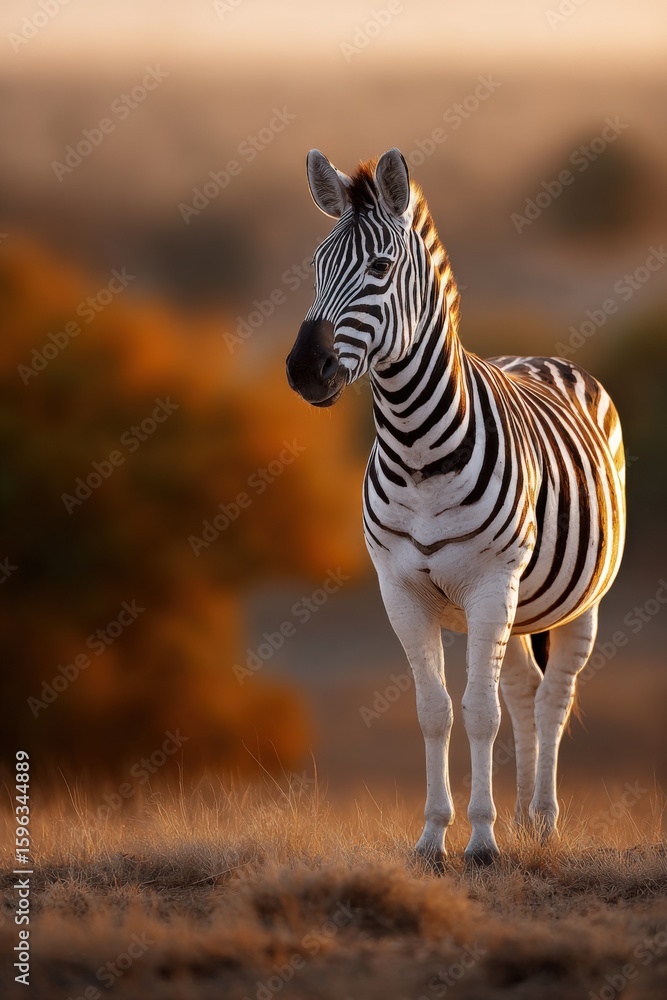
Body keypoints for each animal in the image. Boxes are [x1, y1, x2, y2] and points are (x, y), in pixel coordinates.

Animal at [286, 148, 626, 865]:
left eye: (380, 269)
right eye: (316, 266)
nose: (304, 370)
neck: (418, 447)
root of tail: (541, 356)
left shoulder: (491, 581)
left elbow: (479, 712)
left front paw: (482, 842)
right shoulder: (400, 588)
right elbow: (436, 709)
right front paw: (433, 837)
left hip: (580, 598)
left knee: (553, 696)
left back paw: (542, 821)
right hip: (524, 604)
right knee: (523, 690)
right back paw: (524, 818)